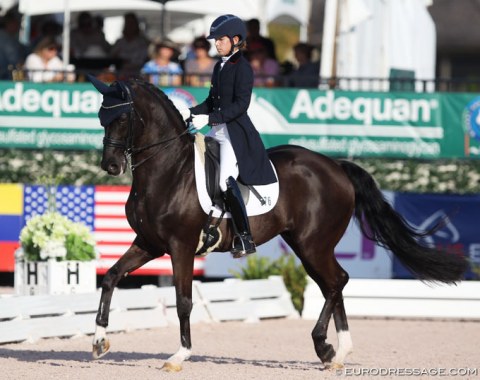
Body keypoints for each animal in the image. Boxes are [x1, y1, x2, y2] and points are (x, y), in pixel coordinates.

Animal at [88, 77, 466, 372]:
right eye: (101, 117)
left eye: (123, 117)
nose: (110, 166)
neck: (168, 171)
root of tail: (336, 166)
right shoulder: (149, 243)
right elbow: (110, 278)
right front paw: (99, 342)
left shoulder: (181, 247)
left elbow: (183, 301)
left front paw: (178, 356)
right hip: (306, 245)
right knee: (333, 284)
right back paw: (336, 353)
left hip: (313, 244)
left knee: (336, 282)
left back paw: (324, 345)